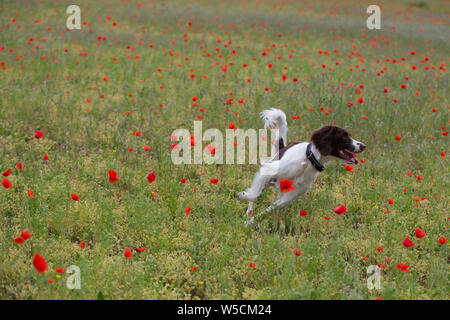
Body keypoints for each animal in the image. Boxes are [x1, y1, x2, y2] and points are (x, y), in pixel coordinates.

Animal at [236, 109, 366, 226]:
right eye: (344, 136)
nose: (364, 146)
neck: (308, 161)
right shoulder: (268, 170)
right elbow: (254, 195)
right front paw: (243, 199)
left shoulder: (289, 196)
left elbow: (269, 209)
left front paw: (249, 223)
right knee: (254, 196)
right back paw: (248, 211)